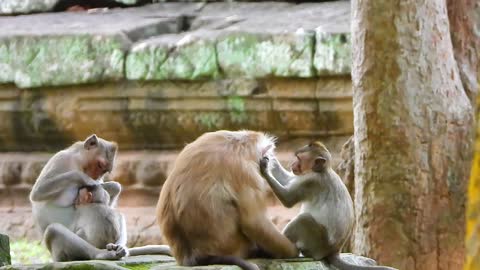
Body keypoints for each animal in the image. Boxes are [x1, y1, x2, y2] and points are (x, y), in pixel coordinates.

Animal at [28, 135, 171, 262]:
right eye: (100, 165)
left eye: (105, 170)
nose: (96, 176)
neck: (78, 161)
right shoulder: (61, 159)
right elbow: (38, 191)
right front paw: (84, 178)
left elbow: (108, 192)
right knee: (54, 229)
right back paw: (101, 254)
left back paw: (117, 249)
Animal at [158, 130, 298, 270]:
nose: (271, 161)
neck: (238, 144)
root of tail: (192, 256)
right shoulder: (245, 171)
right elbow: (253, 222)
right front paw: (293, 251)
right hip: (238, 247)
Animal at [258, 141, 398, 270]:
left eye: (299, 159)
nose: (293, 165)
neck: (322, 171)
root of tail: (334, 251)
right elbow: (287, 180)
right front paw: (272, 158)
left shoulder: (311, 181)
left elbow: (288, 199)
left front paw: (264, 169)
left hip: (318, 242)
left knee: (304, 220)